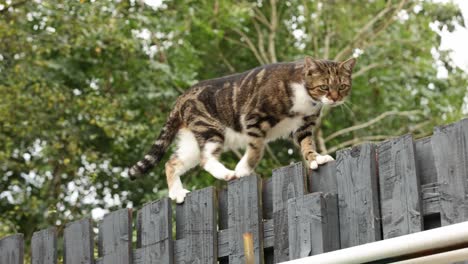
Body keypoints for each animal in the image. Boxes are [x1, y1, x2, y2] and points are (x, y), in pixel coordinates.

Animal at [128, 56, 354, 203]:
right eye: (324, 87)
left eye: (343, 86)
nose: (335, 98)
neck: (305, 96)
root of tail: (181, 98)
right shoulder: (253, 118)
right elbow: (256, 149)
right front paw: (243, 169)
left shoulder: (303, 126)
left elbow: (307, 144)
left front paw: (316, 159)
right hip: (209, 127)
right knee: (205, 158)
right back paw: (228, 174)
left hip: (192, 141)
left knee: (173, 162)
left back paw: (176, 192)